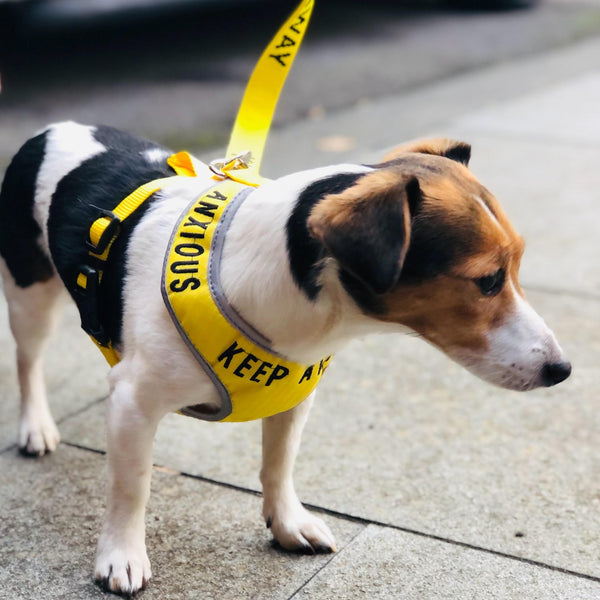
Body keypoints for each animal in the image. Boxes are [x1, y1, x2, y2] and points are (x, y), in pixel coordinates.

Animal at [0, 122, 572, 596]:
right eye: (487, 281)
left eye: (516, 267)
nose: (562, 370)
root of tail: (53, 128)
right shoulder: (133, 403)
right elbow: (131, 484)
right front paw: (122, 553)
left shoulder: (293, 392)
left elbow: (279, 462)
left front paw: (286, 521)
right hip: (29, 294)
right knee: (28, 362)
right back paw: (36, 425)